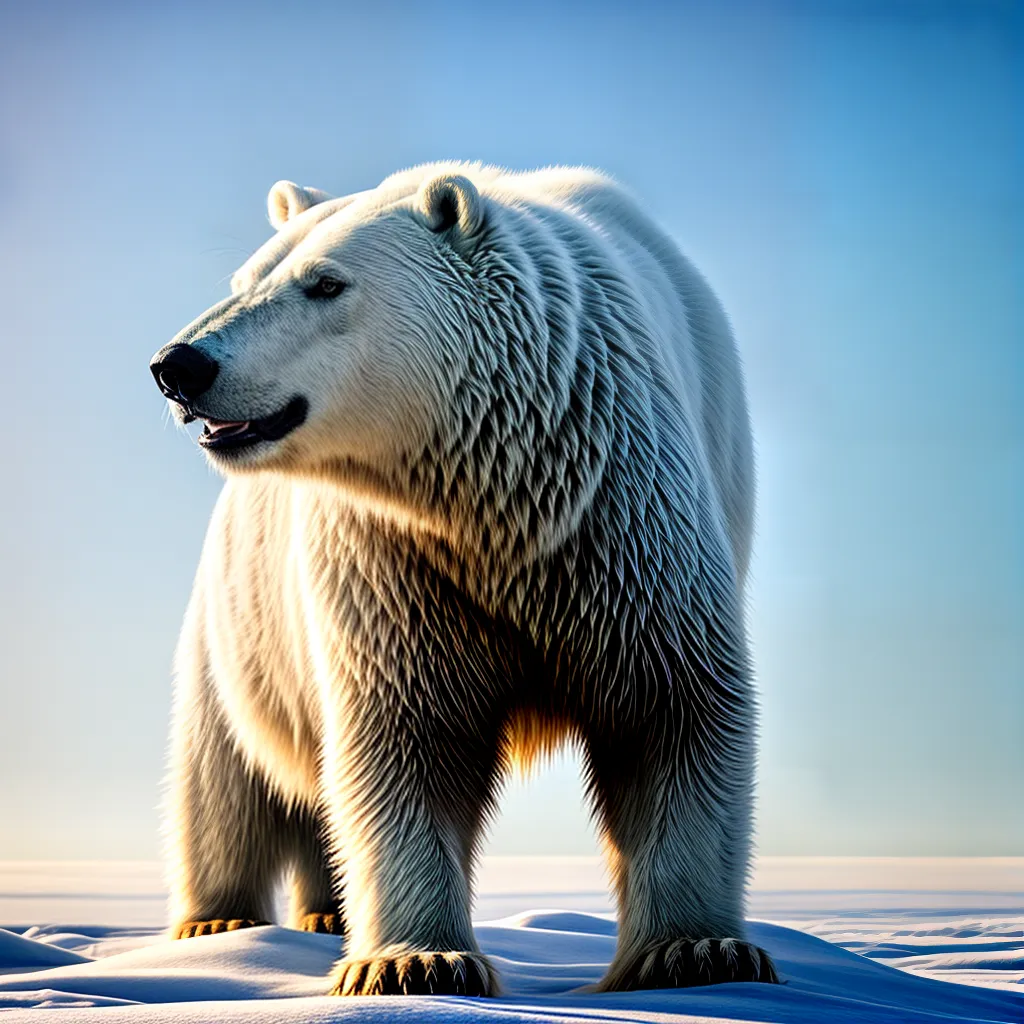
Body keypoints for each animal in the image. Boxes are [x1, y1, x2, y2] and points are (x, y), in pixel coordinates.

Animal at [149, 162, 777, 996]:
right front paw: (415, 961)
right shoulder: (390, 557)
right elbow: (404, 729)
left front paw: (696, 951)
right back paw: (219, 923)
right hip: (241, 624)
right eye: (245, 278)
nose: (179, 366)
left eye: (326, 283)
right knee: (226, 774)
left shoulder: (624, 521)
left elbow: (670, 706)